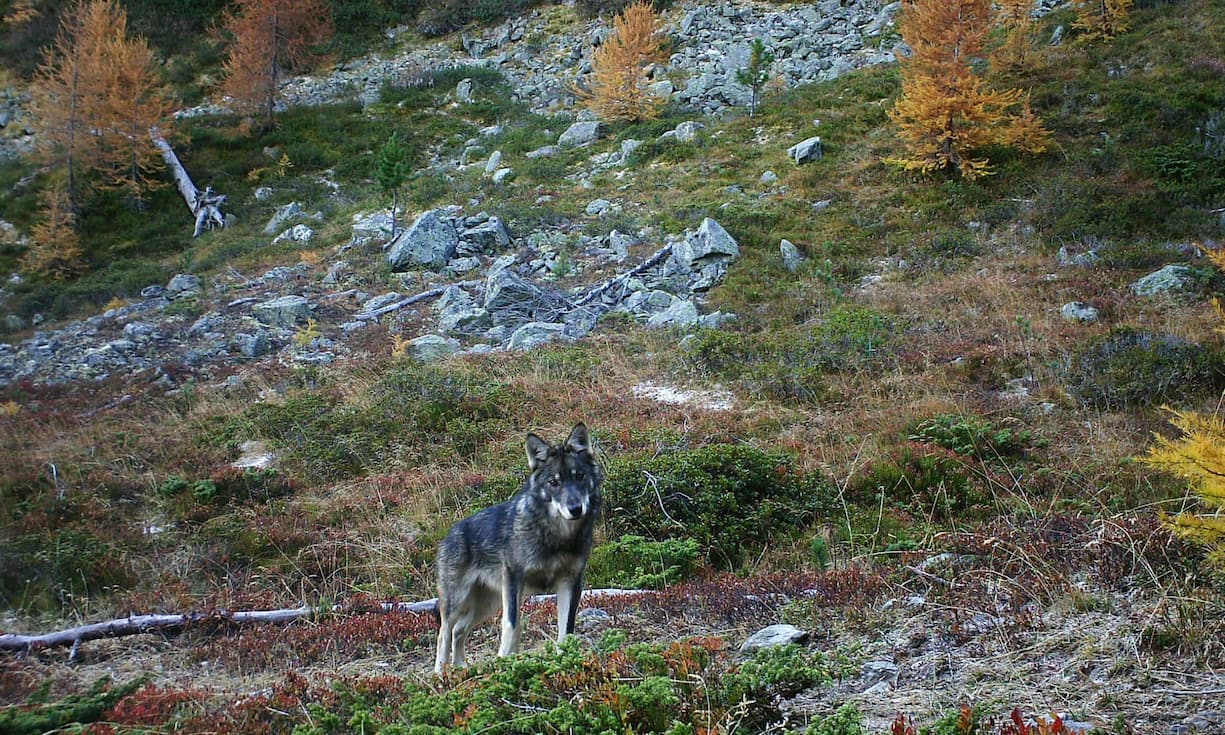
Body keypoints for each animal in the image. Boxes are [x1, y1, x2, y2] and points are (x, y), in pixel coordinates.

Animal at [434, 423, 603, 672]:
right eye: (554, 482)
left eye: (579, 476)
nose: (575, 509)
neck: (557, 536)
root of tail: (450, 533)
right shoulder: (514, 579)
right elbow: (512, 626)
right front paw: (505, 661)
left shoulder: (571, 582)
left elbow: (566, 630)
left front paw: (564, 662)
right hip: (459, 601)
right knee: (444, 632)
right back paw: (440, 674)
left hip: (487, 605)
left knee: (458, 631)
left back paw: (461, 669)